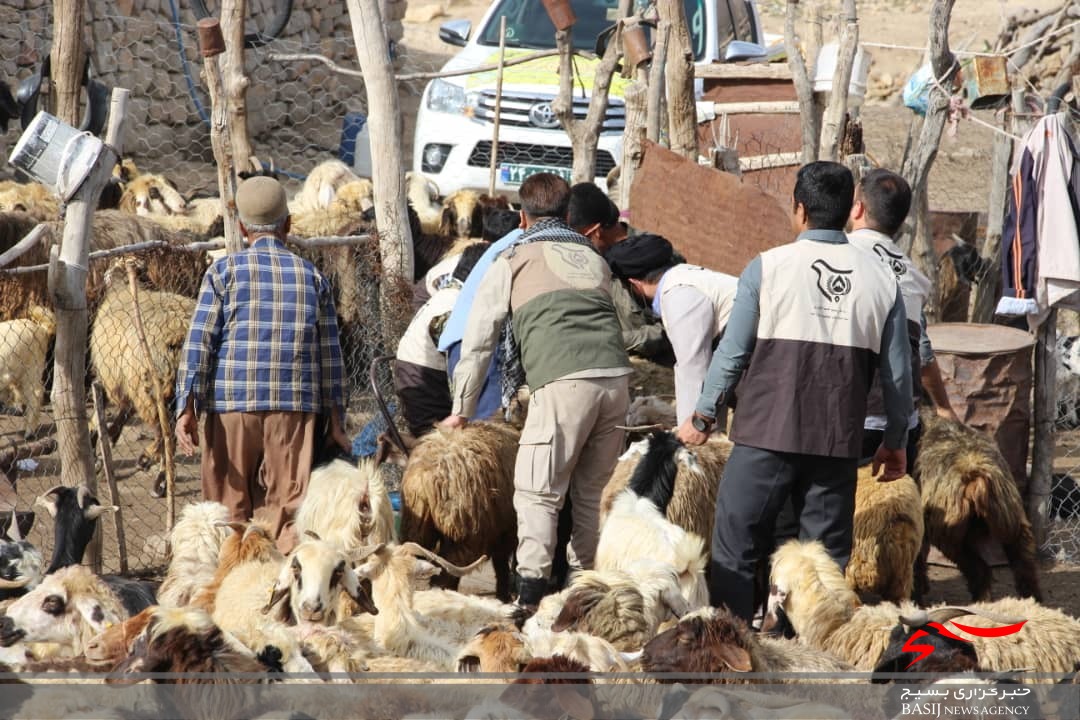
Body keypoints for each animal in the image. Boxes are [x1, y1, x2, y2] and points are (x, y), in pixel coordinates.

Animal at [399, 423, 520, 604]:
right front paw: (504, 596)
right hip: (467, 530)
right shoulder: (508, 531)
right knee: (450, 569)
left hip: (417, 526)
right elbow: (504, 564)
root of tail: (425, 478)